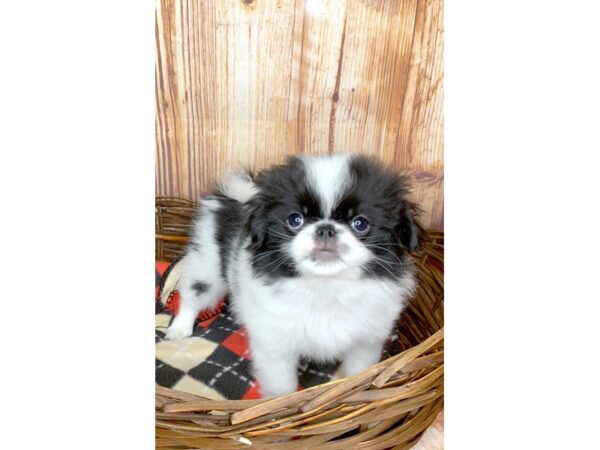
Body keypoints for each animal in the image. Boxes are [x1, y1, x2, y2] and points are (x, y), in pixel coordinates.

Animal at [165, 153, 422, 396]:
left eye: (360, 223)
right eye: (295, 220)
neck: (326, 286)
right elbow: (282, 387)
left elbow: (358, 373)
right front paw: (278, 407)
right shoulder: (275, 347)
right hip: (207, 268)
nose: (326, 229)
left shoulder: (366, 342)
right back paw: (180, 328)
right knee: (191, 297)